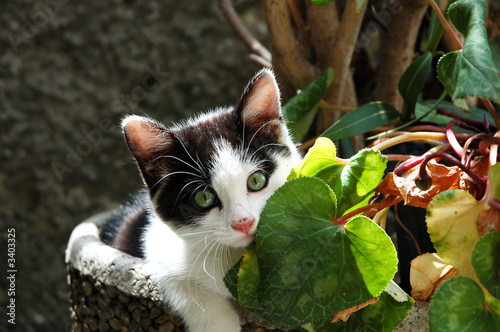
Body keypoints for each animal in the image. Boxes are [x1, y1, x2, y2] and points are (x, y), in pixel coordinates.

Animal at [99, 68, 298, 330]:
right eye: (204, 197)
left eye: (256, 181)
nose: (243, 223)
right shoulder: (154, 242)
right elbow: (183, 283)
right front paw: (220, 324)